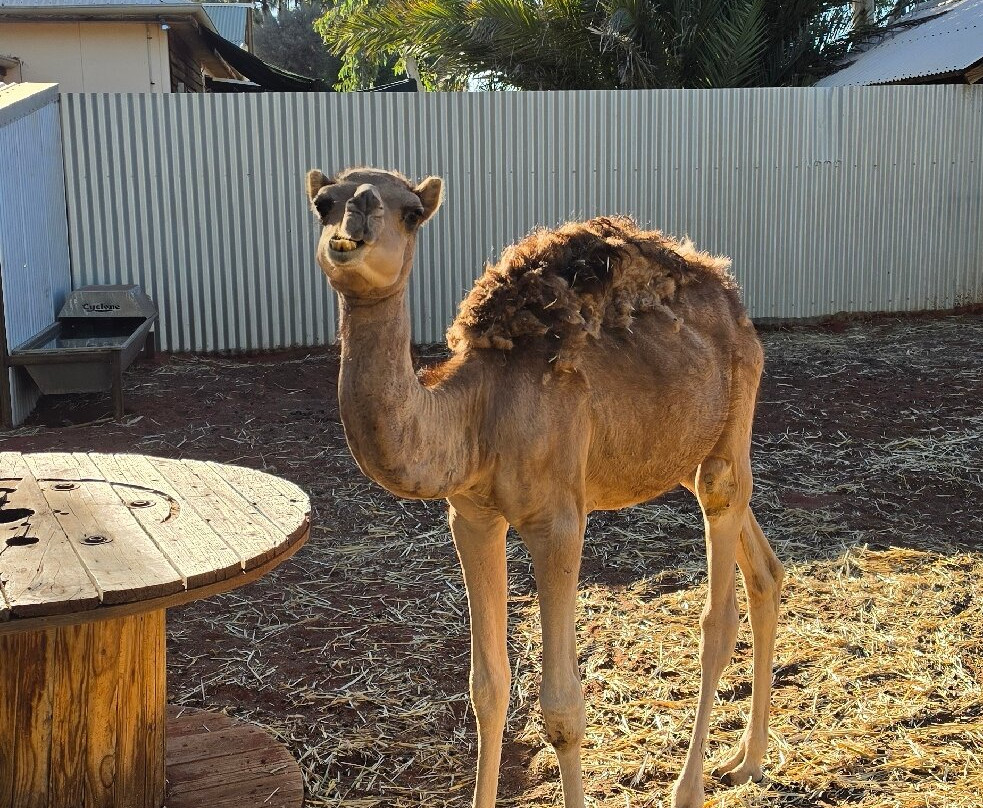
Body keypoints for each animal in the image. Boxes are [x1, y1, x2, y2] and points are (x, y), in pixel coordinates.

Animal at [305, 166, 784, 808]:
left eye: (411, 212)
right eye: (323, 202)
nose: (355, 216)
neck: (474, 410)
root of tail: (731, 297)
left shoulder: (557, 520)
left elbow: (562, 710)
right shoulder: (472, 516)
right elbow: (488, 688)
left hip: (731, 425)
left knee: (719, 604)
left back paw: (690, 786)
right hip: (683, 446)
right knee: (764, 571)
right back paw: (746, 761)